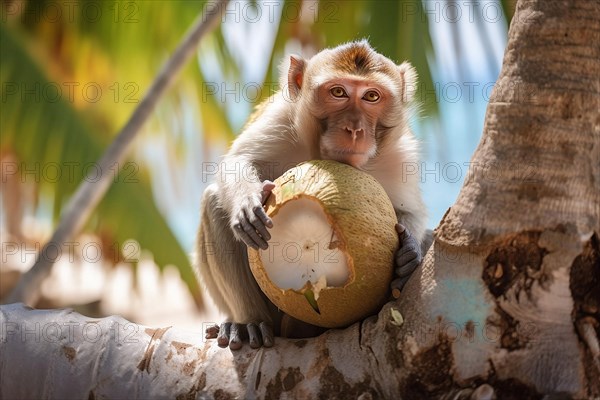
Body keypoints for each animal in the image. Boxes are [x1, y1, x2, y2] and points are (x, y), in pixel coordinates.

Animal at [196, 39, 426, 348]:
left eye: (372, 96)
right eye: (338, 92)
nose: (354, 129)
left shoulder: (400, 154)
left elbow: (410, 211)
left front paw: (409, 252)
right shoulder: (281, 117)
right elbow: (237, 162)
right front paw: (247, 204)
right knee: (215, 204)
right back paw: (248, 323)